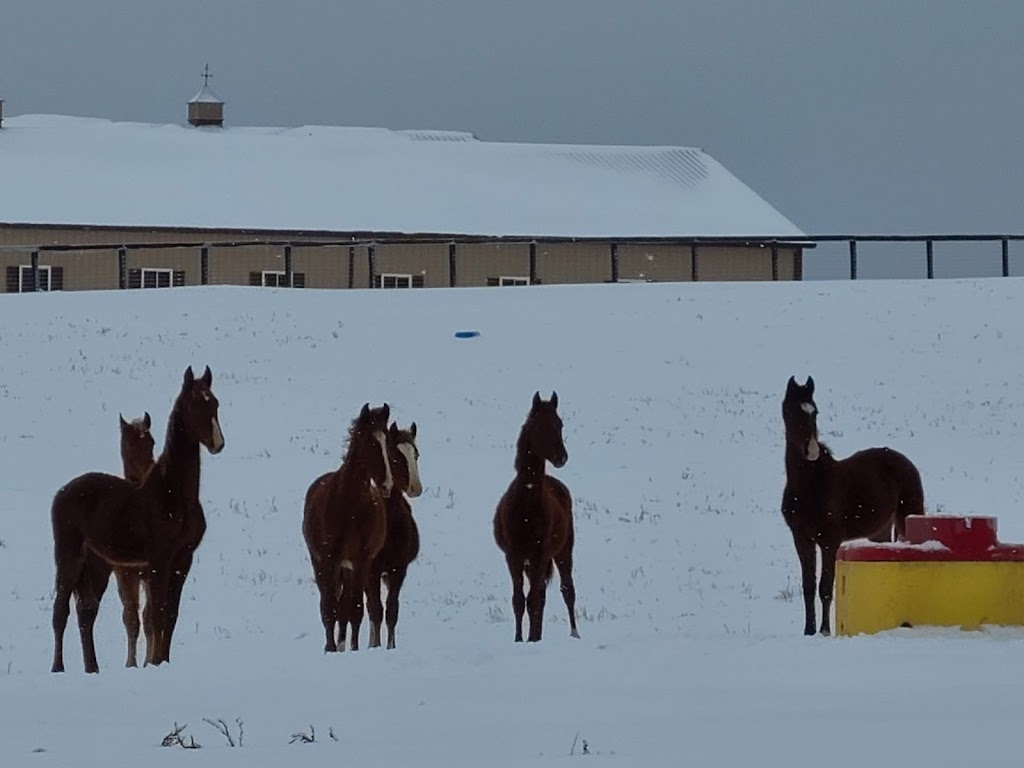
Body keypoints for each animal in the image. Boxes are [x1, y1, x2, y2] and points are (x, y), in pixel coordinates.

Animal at [50, 366, 224, 671]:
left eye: (214, 403)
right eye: (194, 404)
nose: (218, 444)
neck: (173, 494)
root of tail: (63, 492)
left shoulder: (182, 560)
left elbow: (171, 615)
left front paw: (163, 661)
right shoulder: (158, 560)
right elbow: (156, 614)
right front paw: (153, 663)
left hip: (98, 564)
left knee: (86, 612)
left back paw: (93, 668)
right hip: (68, 555)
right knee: (60, 610)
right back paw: (57, 668)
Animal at [301, 403, 393, 655]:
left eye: (387, 440)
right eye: (371, 442)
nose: (387, 484)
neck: (347, 505)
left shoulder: (360, 562)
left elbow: (355, 610)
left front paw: (352, 648)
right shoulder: (327, 560)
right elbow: (329, 608)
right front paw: (331, 648)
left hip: (350, 568)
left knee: (347, 608)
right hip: (325, 564)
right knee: (331, 604)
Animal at [493, 391, 581, 643]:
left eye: (559, 424)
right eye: (538, 426)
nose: (562, 457)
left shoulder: (539, 554)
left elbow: (533, 601)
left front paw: (531, 640)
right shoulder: (514, 557)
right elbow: (519, 601)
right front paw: (520, 640)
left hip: (563, 552)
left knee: (567, 590)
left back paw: (574, 634)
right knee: (539, 593)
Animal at [778, 376, 925, 638]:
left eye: (815, 412)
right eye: (791, 411)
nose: (812, 451)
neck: (810, 485)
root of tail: (903, 461)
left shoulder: (830, 541)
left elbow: (825, 587)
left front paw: (825, 631)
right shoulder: (801, 539)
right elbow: (808, 586)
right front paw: (809, 631)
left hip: (909, 515)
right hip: (881, 530)